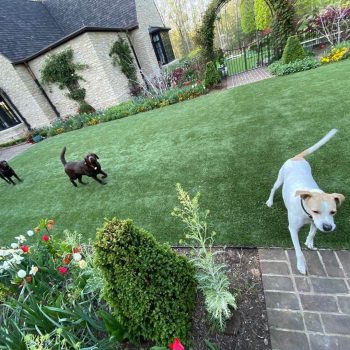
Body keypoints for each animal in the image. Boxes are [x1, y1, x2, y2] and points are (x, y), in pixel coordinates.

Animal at [266, 130, 344, 274]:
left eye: (333, 212)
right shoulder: (293, 228)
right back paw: (269, 201)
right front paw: (301, 265)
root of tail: (297, 157)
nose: (328, 228)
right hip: (280, 178)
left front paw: (309, 242)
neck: (306, 213)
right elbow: (299, 251)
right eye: (315, 211)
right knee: (273, 188)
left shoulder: (316, 222)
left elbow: (313, 231)